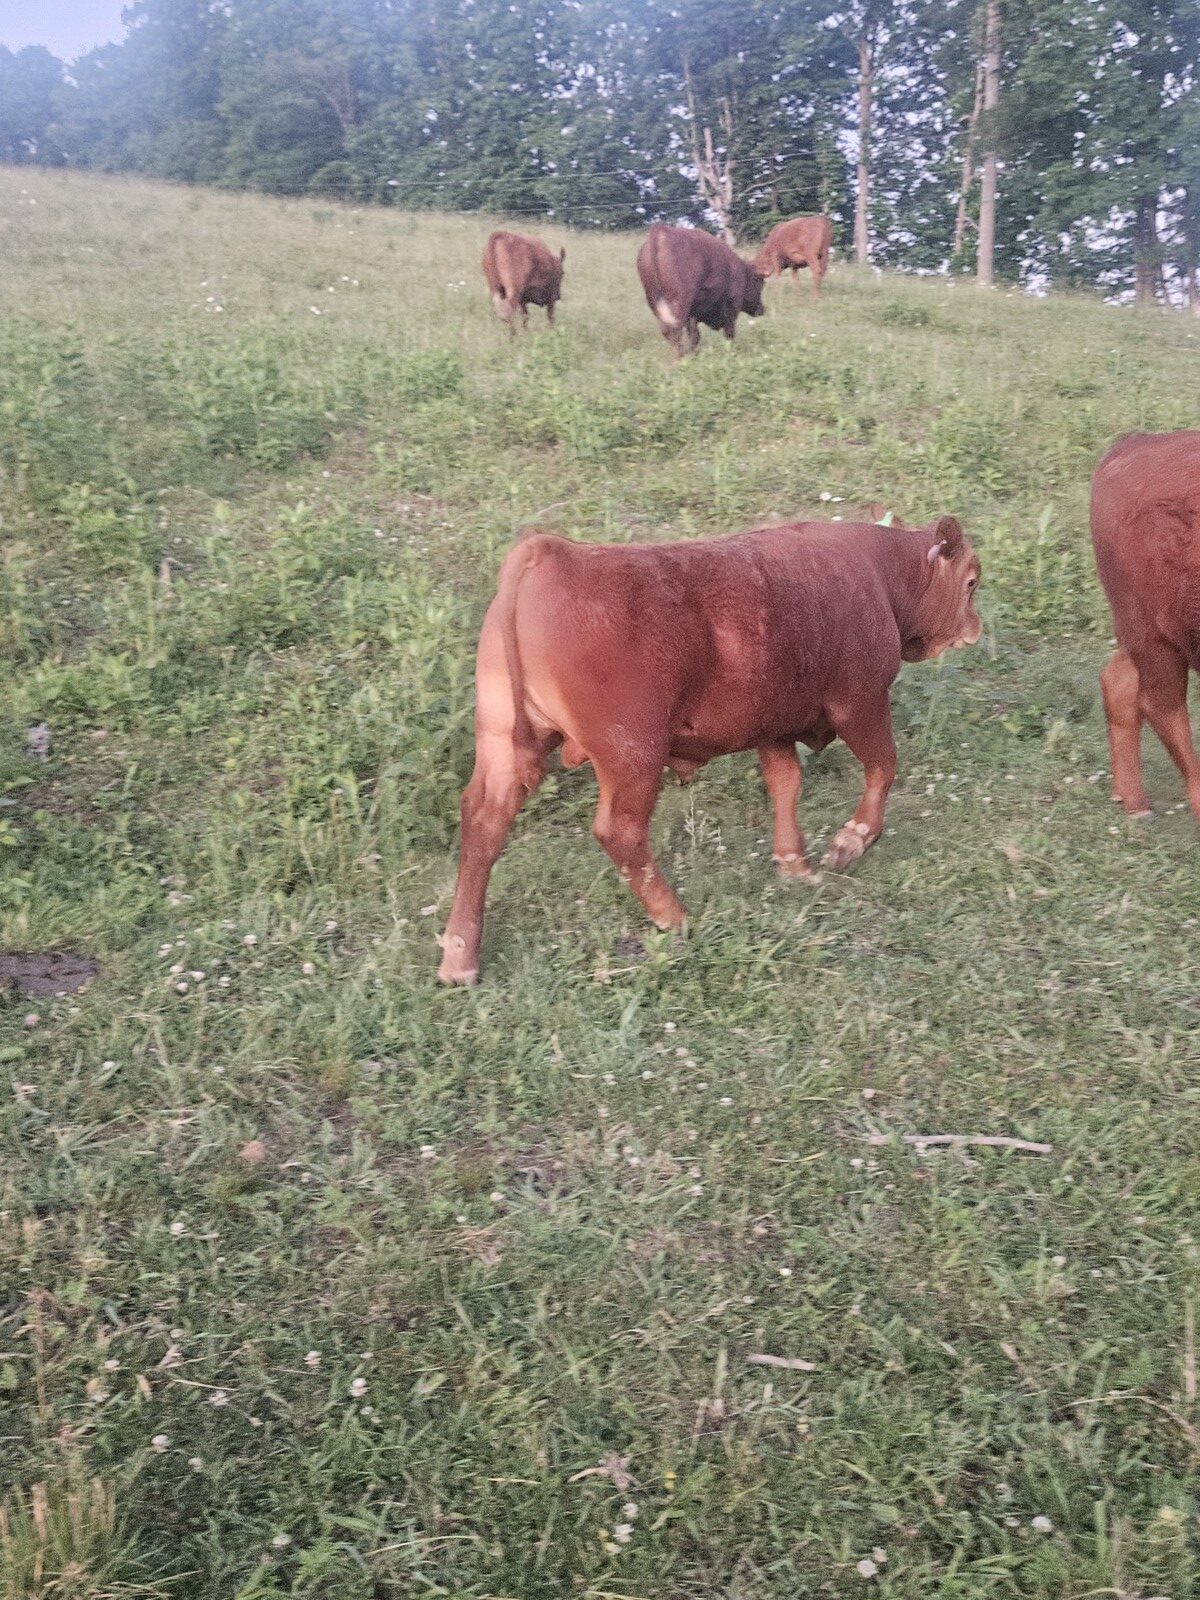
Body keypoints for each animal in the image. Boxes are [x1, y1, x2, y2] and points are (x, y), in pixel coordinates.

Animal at [437, 515, 982, 985]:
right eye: (973, 581)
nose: (975, 627)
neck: (880, 574)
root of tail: (551, 552)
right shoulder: (861, 702)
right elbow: (883, 767)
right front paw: (849, 843)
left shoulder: (773, 724)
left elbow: (786, 783)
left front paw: (794, 864)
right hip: (633, 753)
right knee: (620, 831)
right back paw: (675, 918)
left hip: (503, 743)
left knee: (484, 820)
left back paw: (459, 960)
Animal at [636, 225, 765, 358]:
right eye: (760, 282)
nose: (762, 309)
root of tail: (661, 231)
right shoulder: (732, 306)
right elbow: (728, 334)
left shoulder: (692, 315)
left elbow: (694, 335)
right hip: (680, 301)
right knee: (675, 330)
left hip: (655, 301)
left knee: (668, 331)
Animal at [1091, 431, 1200, 821]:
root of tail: (1136, 443)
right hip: (1153, 638)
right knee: (1162, 706)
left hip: (1148, 635)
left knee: (1119, 681)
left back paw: (1133, 802)